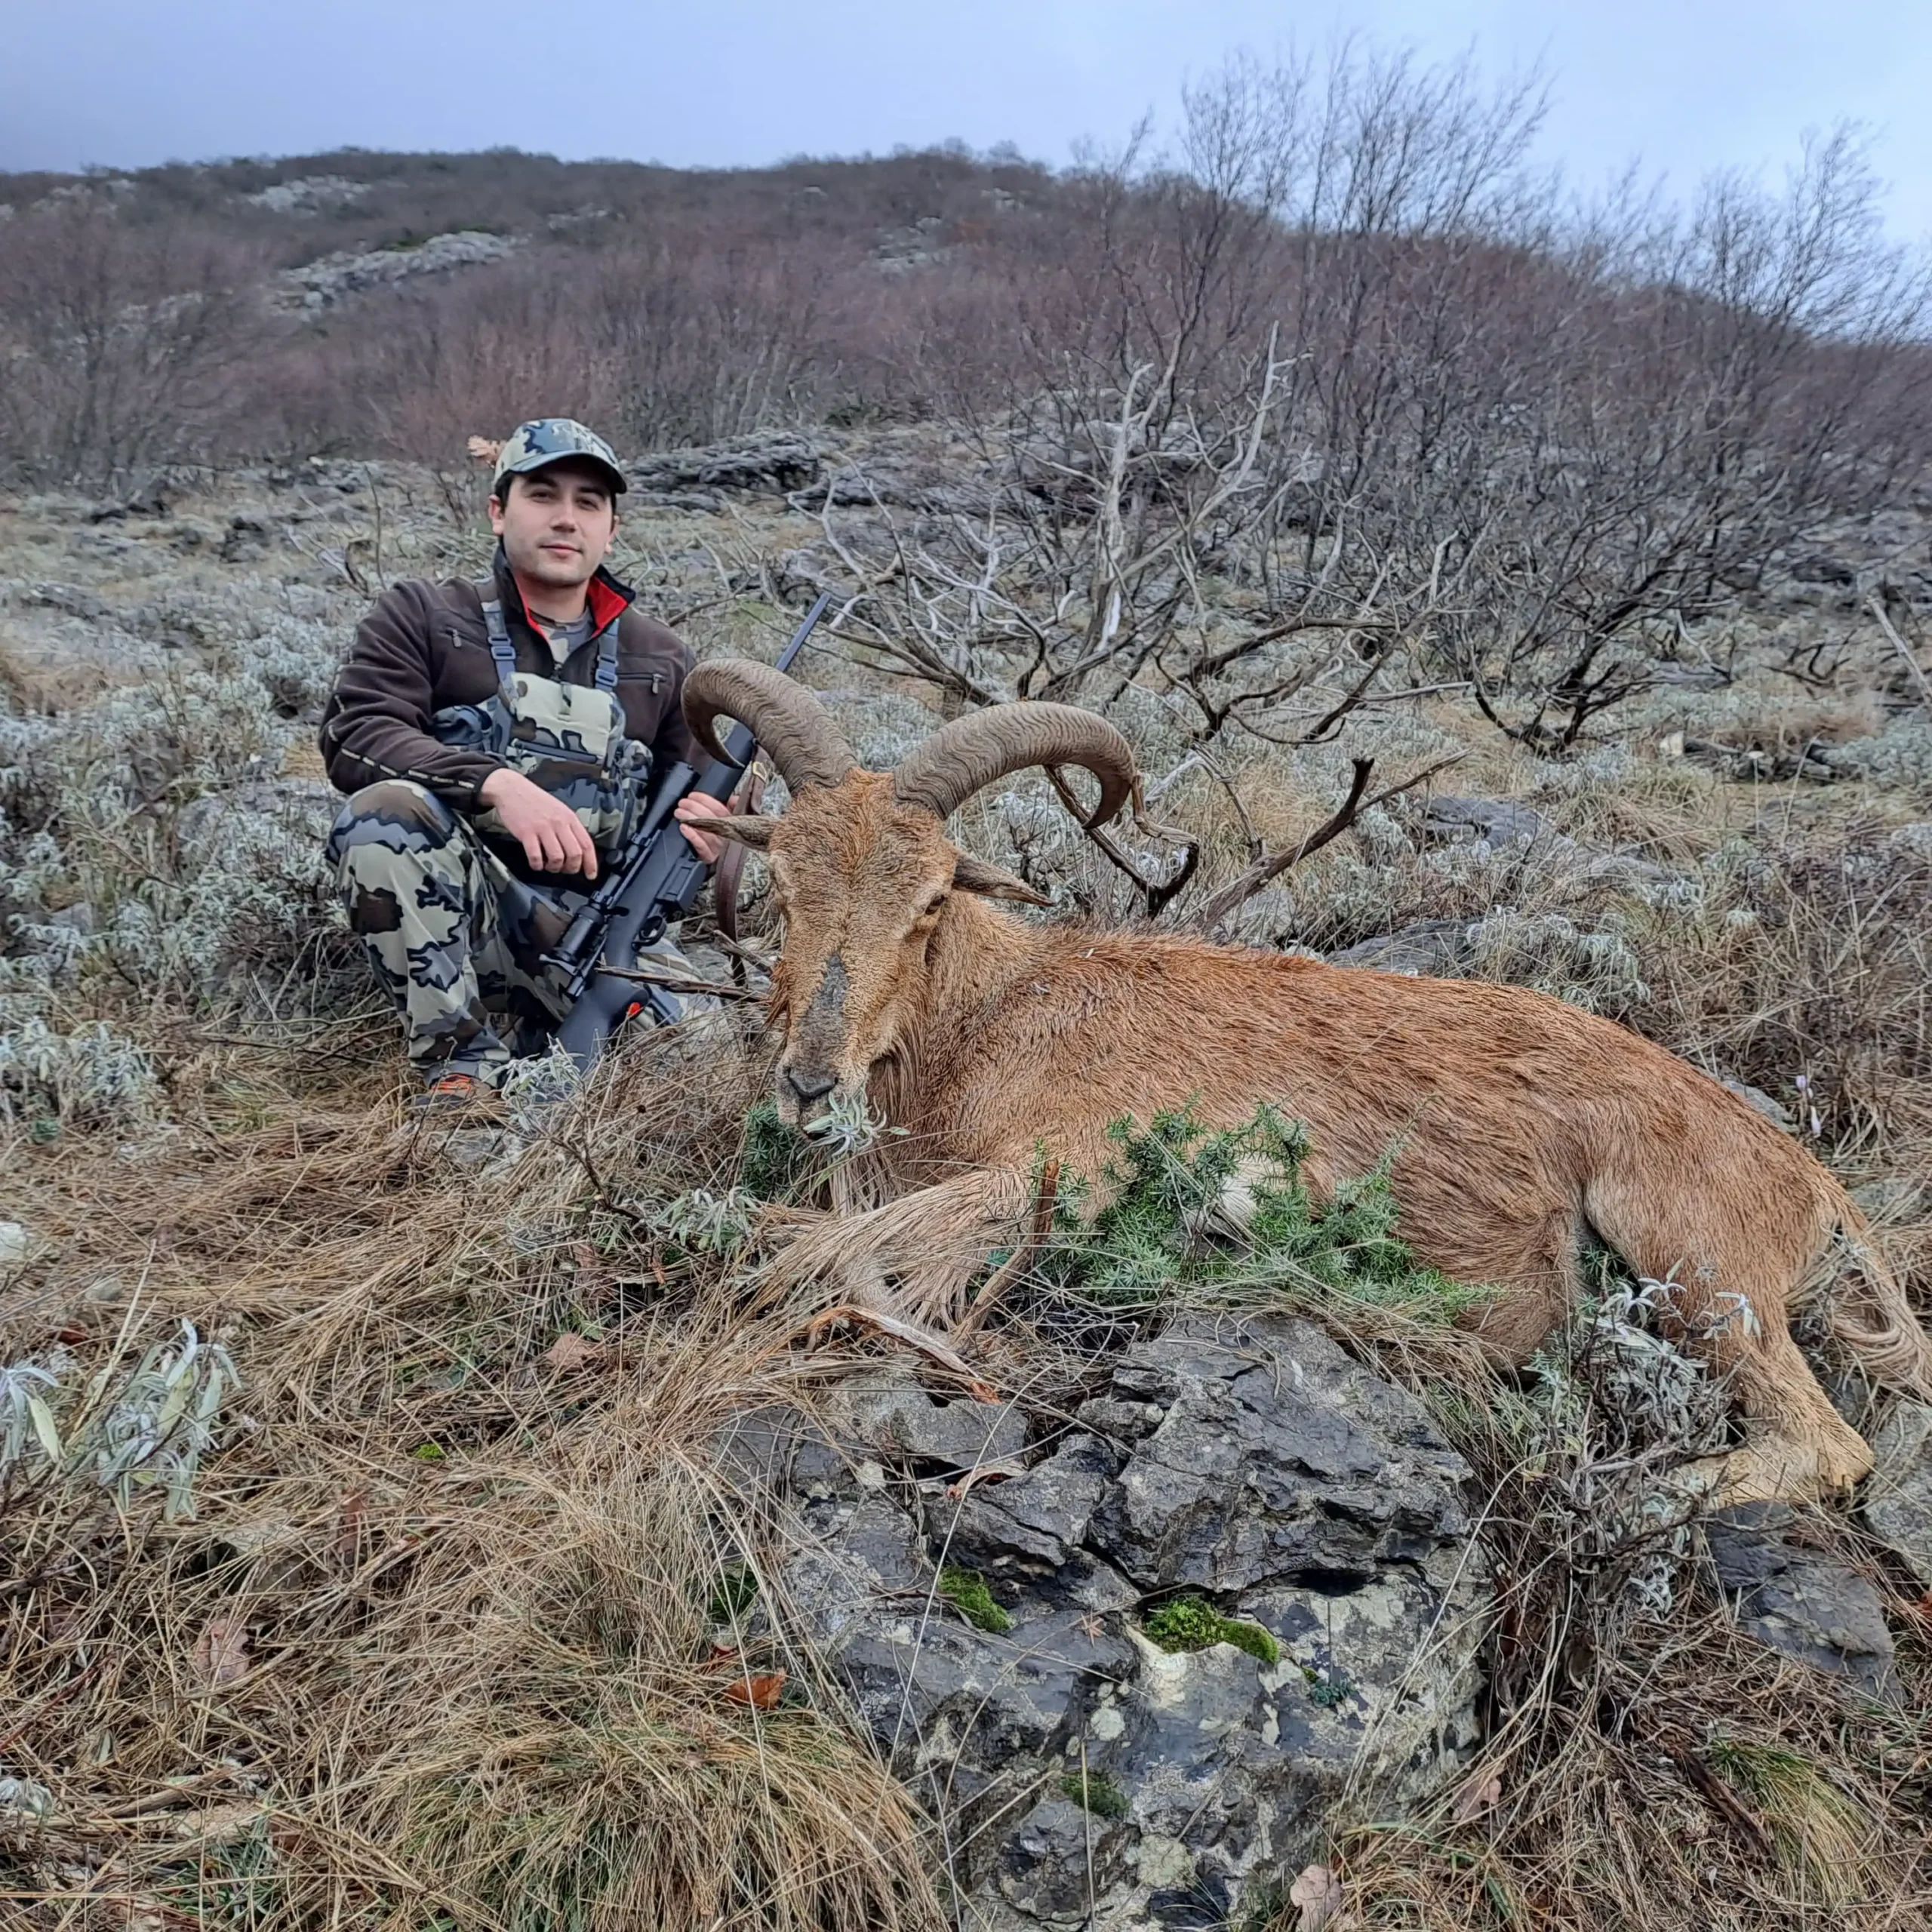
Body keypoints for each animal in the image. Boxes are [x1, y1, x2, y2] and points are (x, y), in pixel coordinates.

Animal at [683, 660, 1932, 1507]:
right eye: (781, 883)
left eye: (933, 896)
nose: (809, 1083)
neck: (998, 1014)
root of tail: (1810, 1181)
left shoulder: (1059, 1168)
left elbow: (834, 1248)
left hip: (1694, 1260)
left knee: (1827, 1444)